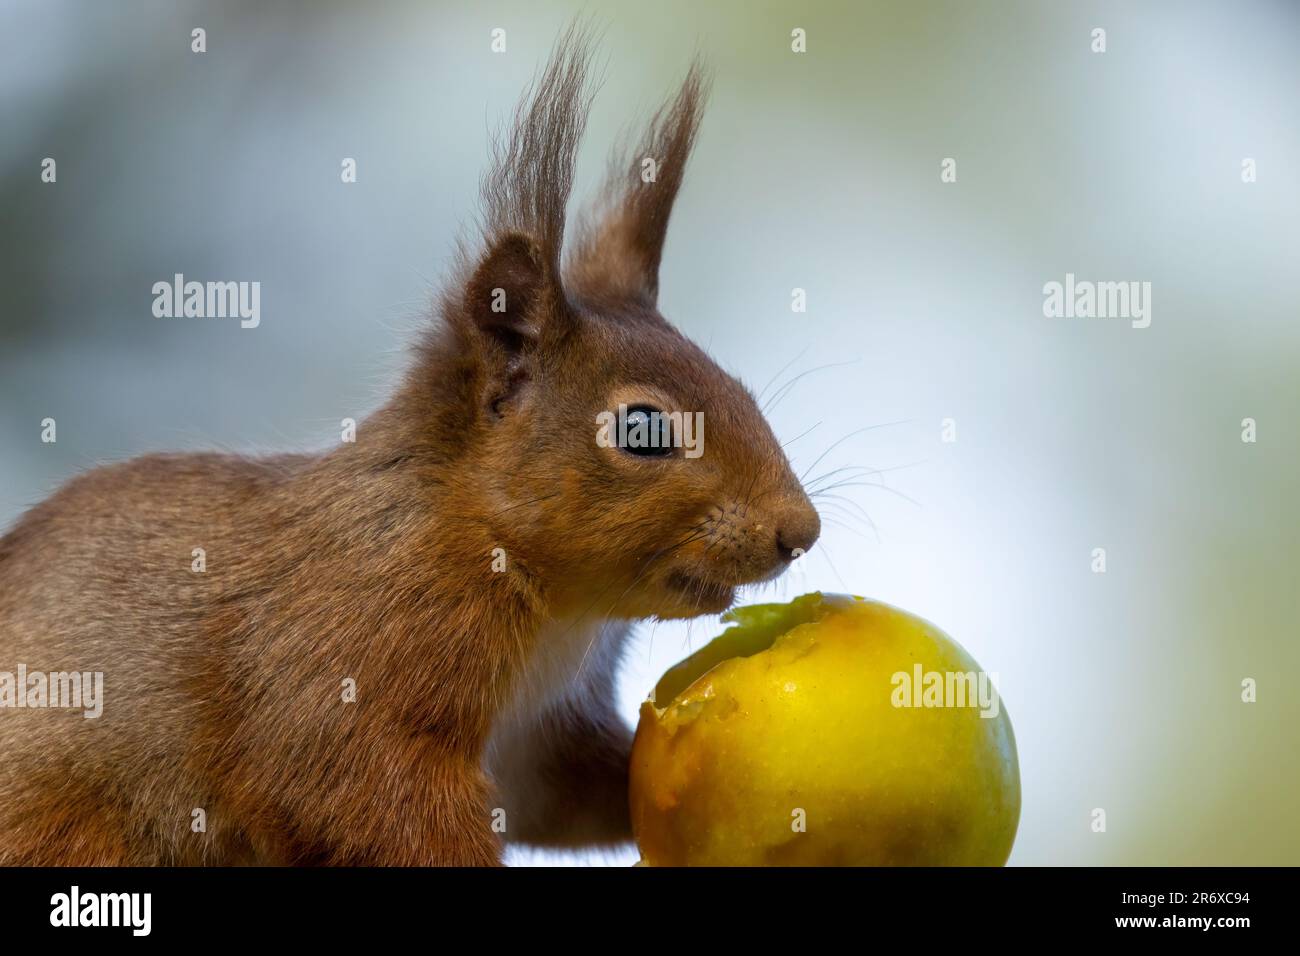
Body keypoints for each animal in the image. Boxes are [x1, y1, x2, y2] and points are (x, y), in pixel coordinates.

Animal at [0, 31, 820, 865]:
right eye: (644, 430)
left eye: (742, 388)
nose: (800, 531)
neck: (560, 610)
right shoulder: (342, 671)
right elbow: (355, 786)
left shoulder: (540, 741)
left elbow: (573, 795)